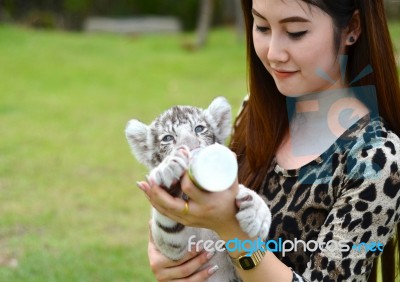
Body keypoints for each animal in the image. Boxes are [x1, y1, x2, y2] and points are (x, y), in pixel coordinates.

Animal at [126, 96, 272, 280]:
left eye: (199, 129)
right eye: (167, 138)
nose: (192, 146)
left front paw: (258, 214)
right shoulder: (176, 249)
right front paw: (167, 173)